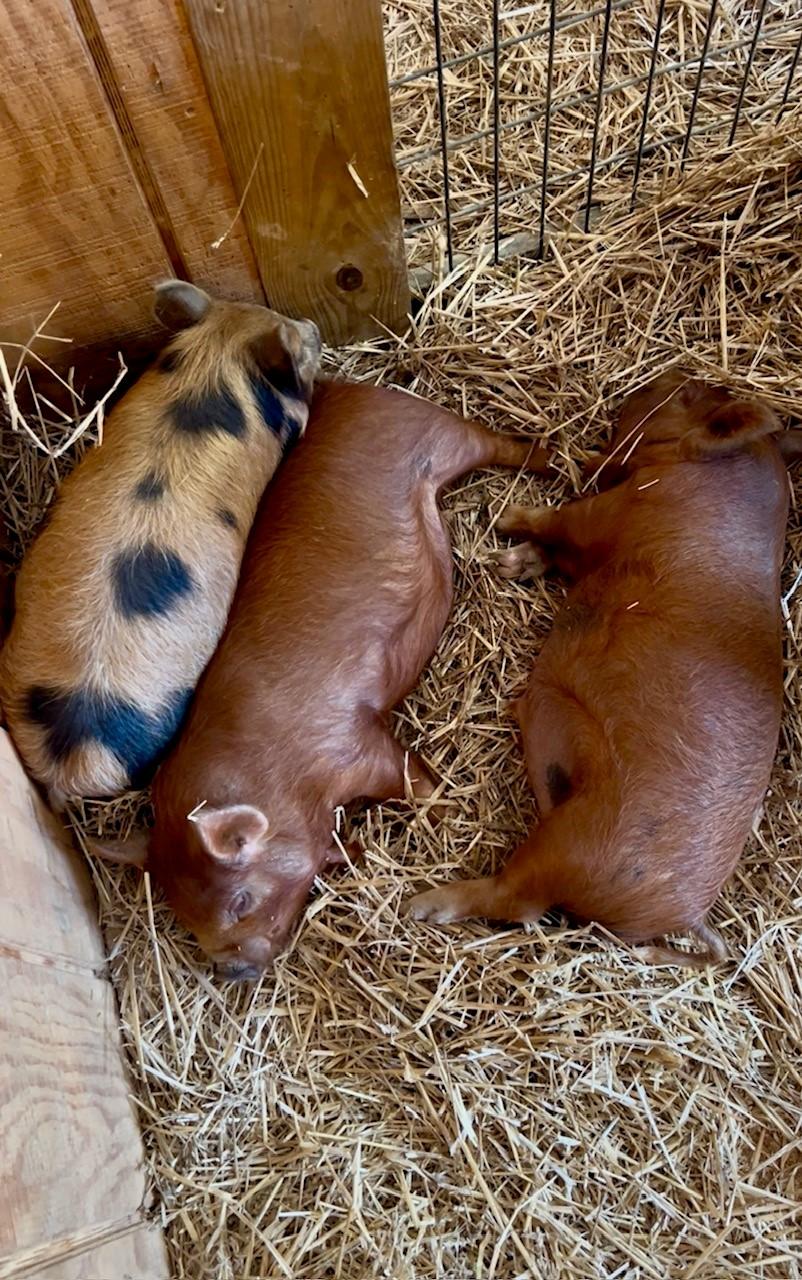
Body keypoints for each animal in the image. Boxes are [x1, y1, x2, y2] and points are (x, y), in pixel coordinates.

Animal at [94, 381, 548, 979]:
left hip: (435, 433)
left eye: (241, 900)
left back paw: (553, 458)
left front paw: (446, 810)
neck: (276, 780)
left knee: (494, 442)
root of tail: (347, 388)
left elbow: (412, 781)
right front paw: (354, 854)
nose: (232, 972)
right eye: (183, 916)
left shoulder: (353, 743)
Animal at [408, 370, 802, 966]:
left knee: (516, 903)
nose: (668, 375)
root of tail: (687, 915)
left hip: (570, 844)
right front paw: (518, 562)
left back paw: (422, 905)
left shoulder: (606, 516)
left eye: (690, 397)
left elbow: (557, 519)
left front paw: (510, 521)